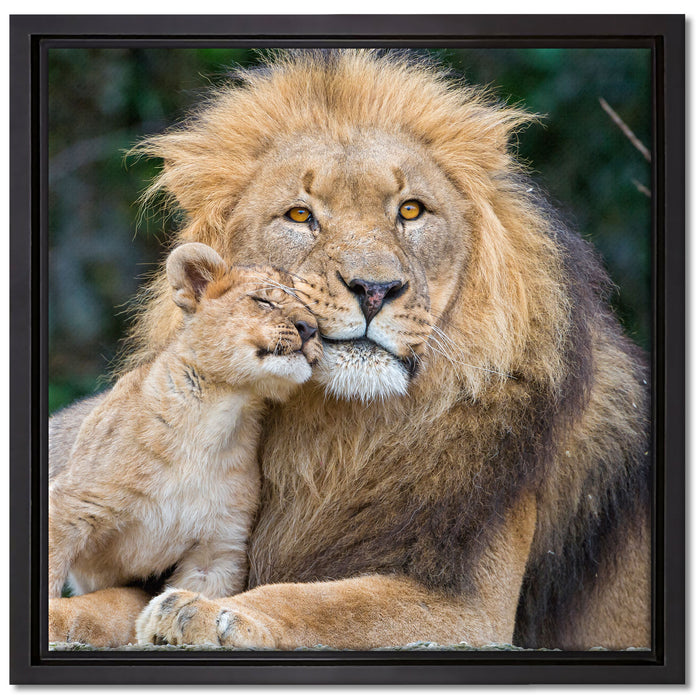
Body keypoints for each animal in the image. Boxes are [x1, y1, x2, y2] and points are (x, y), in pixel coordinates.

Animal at [49, 242, 321, 602]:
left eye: (314, 313)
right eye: (264, 301)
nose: (310, 329)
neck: (218, 417)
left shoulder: (217, 548)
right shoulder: (70, 506)